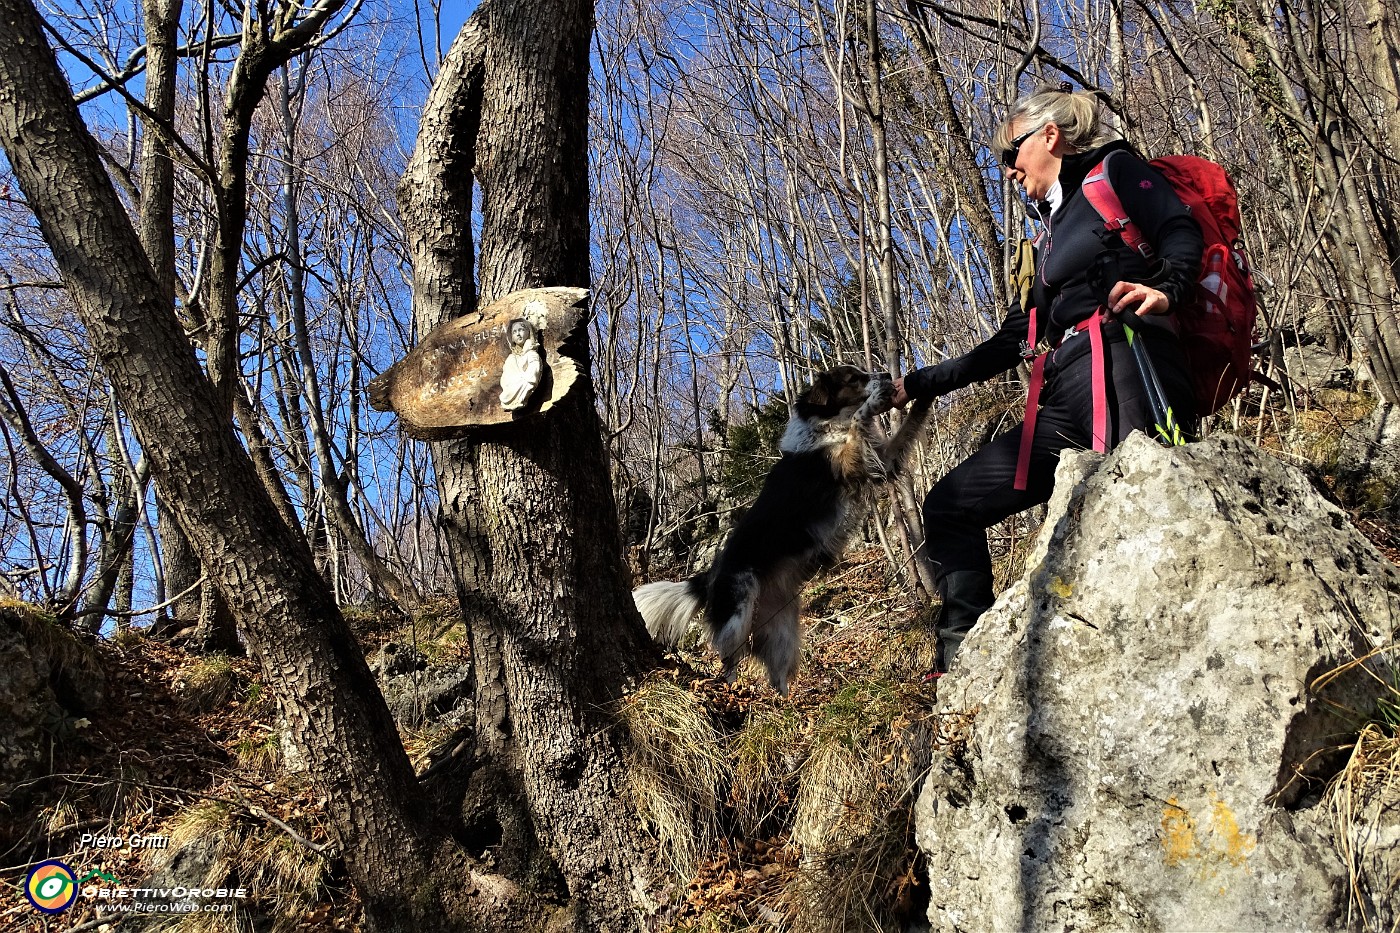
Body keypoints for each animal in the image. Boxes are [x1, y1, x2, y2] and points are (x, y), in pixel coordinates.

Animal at [635, 367, 929, 694]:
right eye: (854, 378)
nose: (888, 374)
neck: (826, 428)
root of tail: (709, 575)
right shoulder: (850, 461)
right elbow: (858, 420)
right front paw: (872, 403)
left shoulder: (883, 461)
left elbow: (907, 425)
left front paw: (924, 393)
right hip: (737, 617)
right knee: (728, 661)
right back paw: (734, 693)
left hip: (783, 635)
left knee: (776, 676)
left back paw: (784, 701)